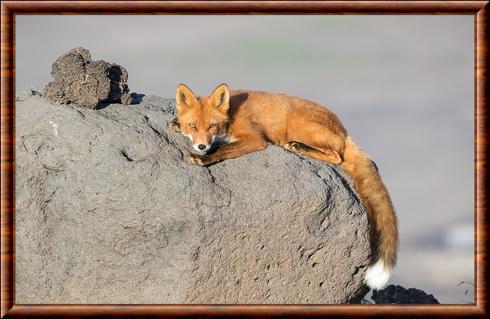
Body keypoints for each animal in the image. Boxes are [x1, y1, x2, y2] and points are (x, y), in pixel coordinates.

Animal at [171, 83, 398, 292]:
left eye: (212, 126)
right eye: (192, 125)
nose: (201, 146)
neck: (231, 114)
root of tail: (343, 130)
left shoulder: (255, 139)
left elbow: (223, 149)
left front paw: (203, 158)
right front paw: (176, 124)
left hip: (298, 124)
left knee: (336, 156)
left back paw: (298, 146)